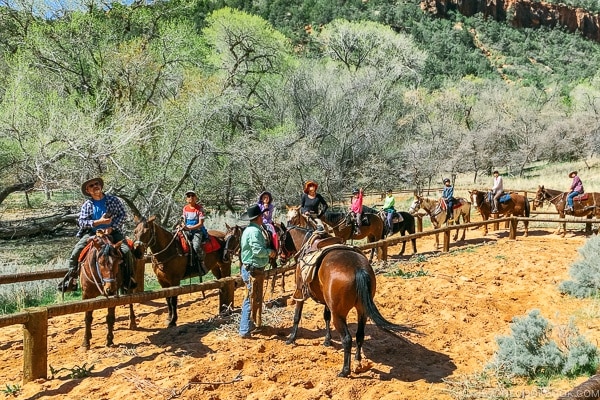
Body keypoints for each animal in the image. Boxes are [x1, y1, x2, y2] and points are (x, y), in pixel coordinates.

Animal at [280, 225, 418, 378]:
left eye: (280, 239)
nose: (281, 258)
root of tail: (358, 269)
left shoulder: (300, 292)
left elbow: (297, 316)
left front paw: (291, 338)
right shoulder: (327, 302)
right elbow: (326, 317)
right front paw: (327, 340)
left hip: (339, 315)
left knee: (347, 339)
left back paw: (345, 370)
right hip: (362, 311)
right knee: (359, 335)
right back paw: (358, 360)